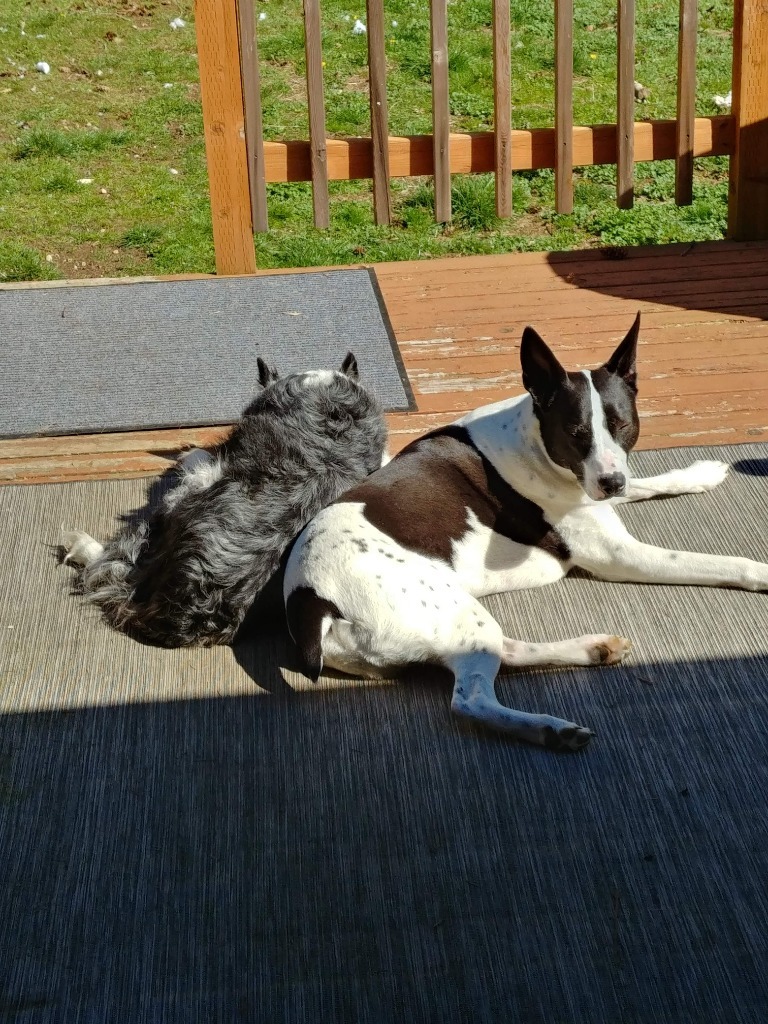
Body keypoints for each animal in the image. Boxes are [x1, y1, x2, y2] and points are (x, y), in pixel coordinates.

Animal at [284, 315, 768, 757]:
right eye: (576, 434)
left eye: (623, 426)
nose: (611, 482)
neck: (532, 438)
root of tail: (310, 600)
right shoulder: (620, 553)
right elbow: (718, 561)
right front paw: (761, 572)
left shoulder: (601, 490)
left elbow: (649, 482)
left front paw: (698, 473)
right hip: (452, 612)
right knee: (470, 700)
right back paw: (550, 729)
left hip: (456, 621)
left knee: (504, 653)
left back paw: (592, 651)